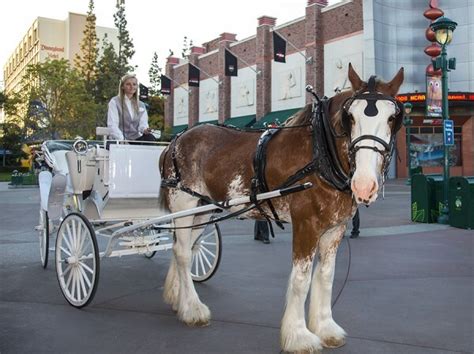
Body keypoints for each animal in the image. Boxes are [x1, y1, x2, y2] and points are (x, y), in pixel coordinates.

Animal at [159, 65, 404, 352]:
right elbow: (301, 280)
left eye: (392, 118)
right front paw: (299, 336)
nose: (364, 184)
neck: (320, 154)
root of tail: (175, 141)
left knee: (184, 246)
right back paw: (192, 309)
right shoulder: (306, 224)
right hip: (183, 202)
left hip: (202, 209)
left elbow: (326, 276)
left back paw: (177, 297)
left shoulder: (335, 229)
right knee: (183, 252)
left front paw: (325, 328)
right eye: (350, 117)